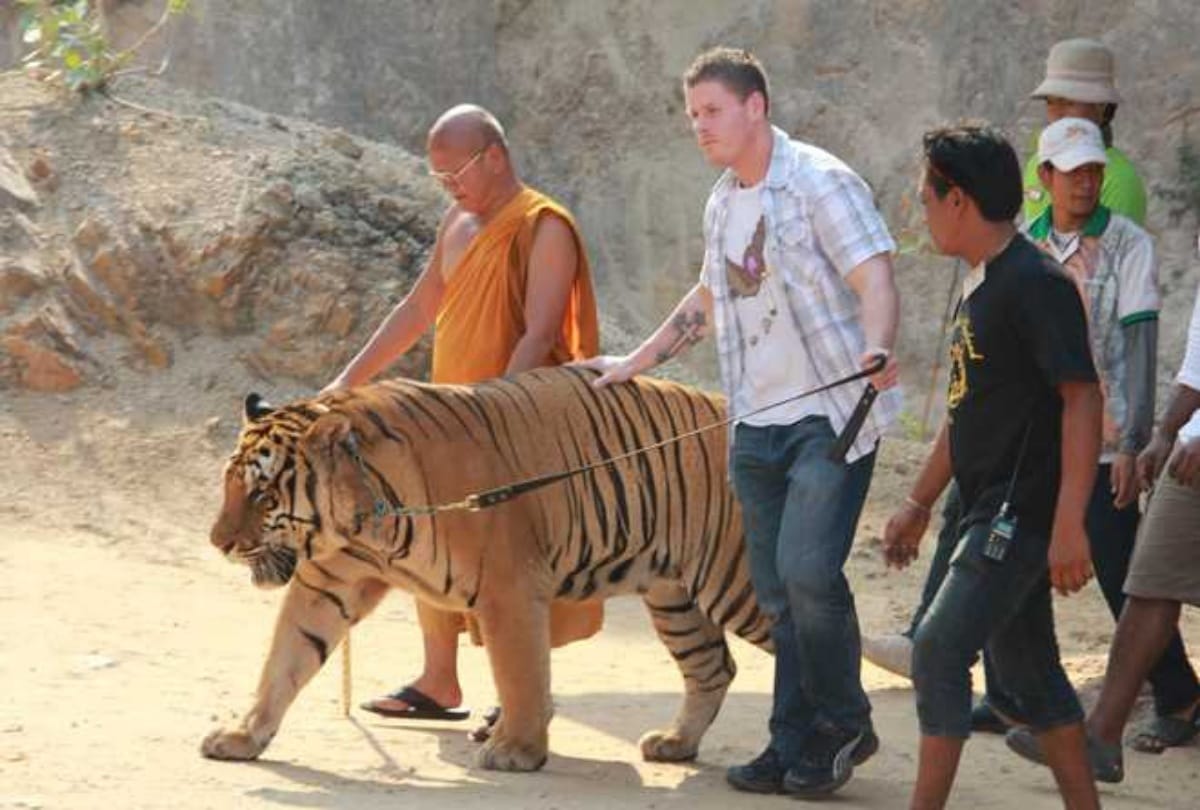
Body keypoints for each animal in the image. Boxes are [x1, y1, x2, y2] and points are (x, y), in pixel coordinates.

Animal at [201, 365, 773, 772]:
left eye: (262, 494)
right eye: (229, 485)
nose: (217, 542)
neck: (362, 519)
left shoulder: (509, 590)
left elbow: (519, 672)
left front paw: (516, 749)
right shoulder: (327, 585)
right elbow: (284, 660)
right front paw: (243, 736)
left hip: (736, 585)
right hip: (675, 597)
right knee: (713, 667)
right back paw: (675, 743)